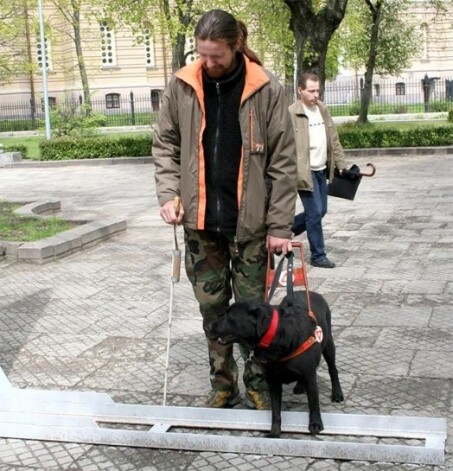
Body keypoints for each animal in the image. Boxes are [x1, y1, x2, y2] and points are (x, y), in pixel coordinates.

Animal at [207, 292, 342, 438]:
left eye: (229, 317)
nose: (208, 327)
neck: (274, 336)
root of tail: (313, 293)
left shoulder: (309, 377)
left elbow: (313, 402)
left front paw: (316, 424)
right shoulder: (273, 382)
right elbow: (276, 411)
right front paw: (275, 432)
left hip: (328, 344)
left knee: (333, 369)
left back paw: (337, 393)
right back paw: (300, 386)